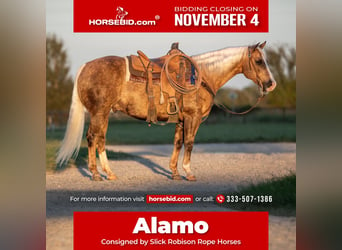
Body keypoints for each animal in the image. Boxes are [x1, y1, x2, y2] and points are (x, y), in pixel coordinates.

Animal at [55, 41, 276, 182]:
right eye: (259, 61)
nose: (271, 84)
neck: (202, 76)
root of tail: (86, 66)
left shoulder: (180, 120)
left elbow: (178, 143)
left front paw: (175, 173)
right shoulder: (193, 117)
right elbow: (189, 143)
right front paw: (188, 172)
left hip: (102, 114)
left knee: (99, 139)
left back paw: (108, 173)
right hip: (99, 113)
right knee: (94, 138)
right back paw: (96, 174)